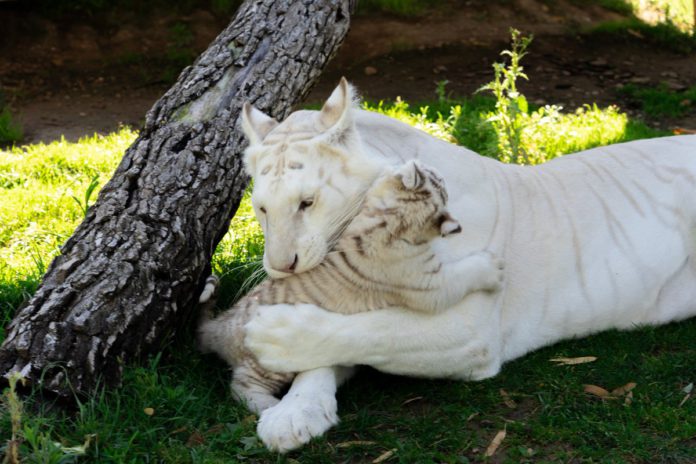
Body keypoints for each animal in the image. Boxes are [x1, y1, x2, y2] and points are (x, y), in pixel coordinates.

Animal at [197, 160, 504, 414]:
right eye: (438, 179)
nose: (436, 171)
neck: (393, 220)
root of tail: (218, 329)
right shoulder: (430, 285)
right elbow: (462, 274)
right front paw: (494, 268)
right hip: (266, 365)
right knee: (242, 386)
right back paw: (269, 406)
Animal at [237, 78, 696, 453]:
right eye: (261, 208)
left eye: (307, 202)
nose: (280, 266)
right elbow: (326, 353)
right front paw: (295, 413)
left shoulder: (471, 331)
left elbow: (372, 331)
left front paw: (271, 335)